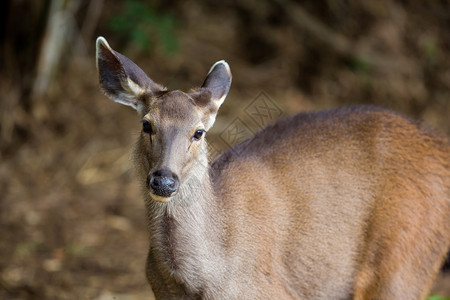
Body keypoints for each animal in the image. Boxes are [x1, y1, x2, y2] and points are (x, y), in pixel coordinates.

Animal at [96, 35, 450, 300]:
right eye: (146, 124)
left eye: (198, 132)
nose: (164, 181)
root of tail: (439, 146)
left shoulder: (270, 290)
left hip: (405, 255)